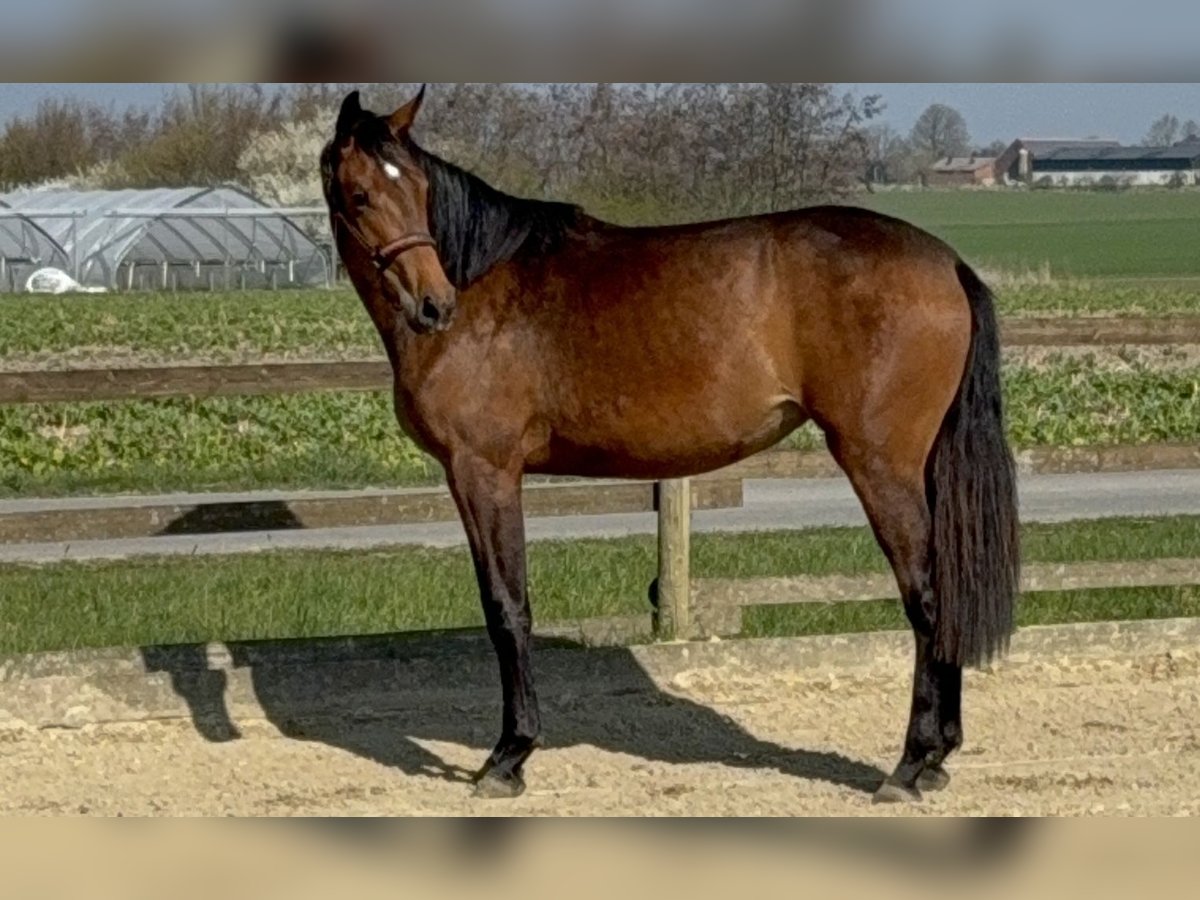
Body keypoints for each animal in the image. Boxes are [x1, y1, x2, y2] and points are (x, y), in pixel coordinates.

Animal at [320, 86, 1020, 804]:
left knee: (927, 596)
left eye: (418, 187)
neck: (485, 281)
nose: (434, 306)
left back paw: (909, 764)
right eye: (362, 194)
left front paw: (508, 756)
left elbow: (507, 608)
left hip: (882, 467)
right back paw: (937, 758)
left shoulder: (482, 472)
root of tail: (948, 264)